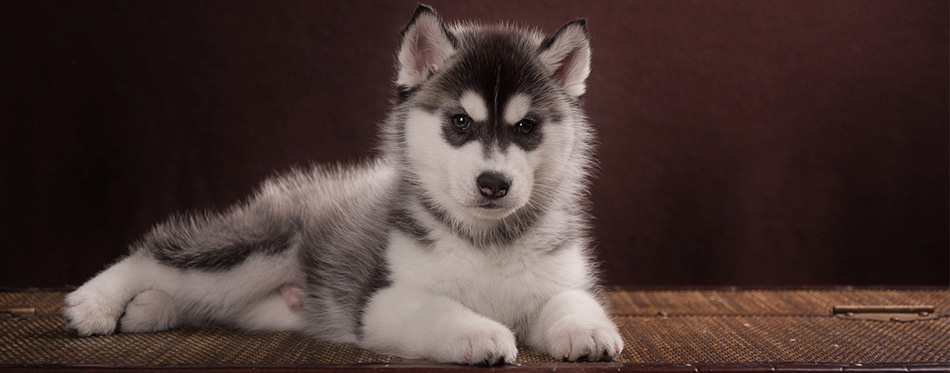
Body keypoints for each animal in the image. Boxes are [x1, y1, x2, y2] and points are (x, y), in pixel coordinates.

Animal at [63, 5, 620, 364]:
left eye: (526, 127)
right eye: (460, 122)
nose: (493, 184)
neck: (487, 240)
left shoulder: (559, 278)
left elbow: (571, 301)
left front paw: (588, 330)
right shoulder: (381, 300)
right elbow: (441, 310)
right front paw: (480, 333)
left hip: (263, 304)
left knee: (205, 301)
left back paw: (147, 310)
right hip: (260, 246)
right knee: (158, 254)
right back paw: (94, 303)